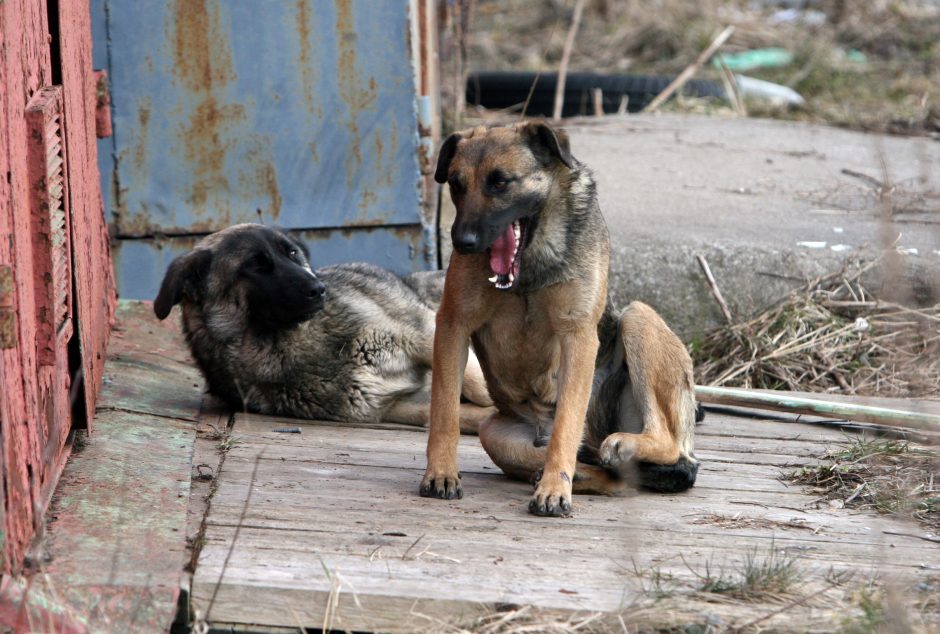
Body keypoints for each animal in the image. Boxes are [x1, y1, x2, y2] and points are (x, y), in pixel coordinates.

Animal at [154, 223, 492, 430]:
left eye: (292, 253)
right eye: (255, 266)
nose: (319, 289)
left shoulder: (422, 331)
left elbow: (477, 385)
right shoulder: (394, 404)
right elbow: (456, 413)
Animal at [418, 122, 696, 512]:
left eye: (500, 182)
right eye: (456, 184)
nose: (462, 242)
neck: (529, 264)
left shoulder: (577, 336)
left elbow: (566, 424)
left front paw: (554, 488)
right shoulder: (453, 327)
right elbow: (444, 412)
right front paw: (441, 472)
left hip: (639, 318)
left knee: (665, 441)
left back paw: (620, 447)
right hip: (495, 434)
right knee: (611, 478)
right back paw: (577, 473)